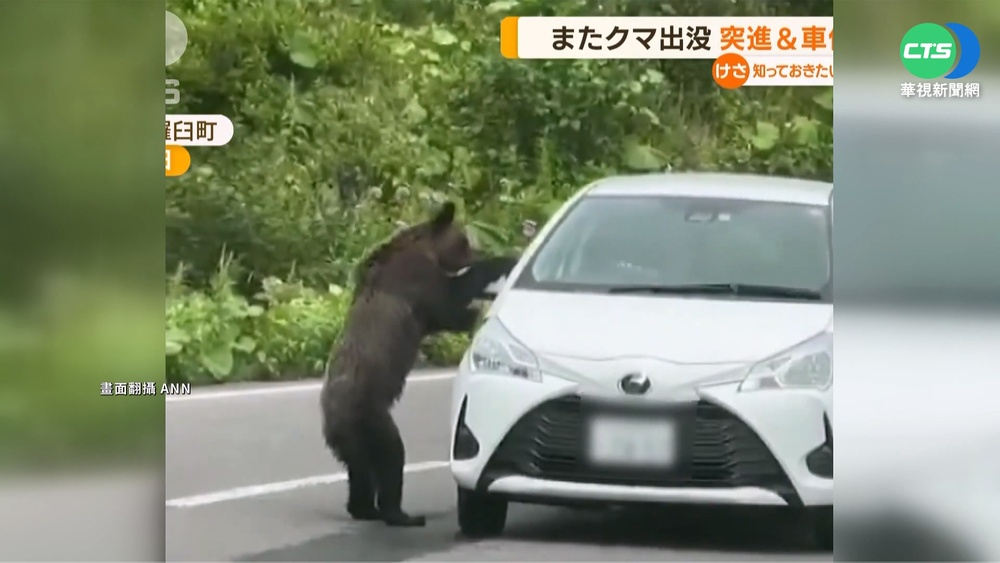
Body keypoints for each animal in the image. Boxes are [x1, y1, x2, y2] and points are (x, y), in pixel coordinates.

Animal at [320, 201, 518, 527]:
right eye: (464, 241)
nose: (476, 250)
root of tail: (332, 418)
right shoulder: (417, 281)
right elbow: (450, 303)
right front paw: (497, 269)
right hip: (371, 417)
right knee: (390, 457)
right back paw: (400, 514)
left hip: (350, 437)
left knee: (359, 470)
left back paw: (364, 508)